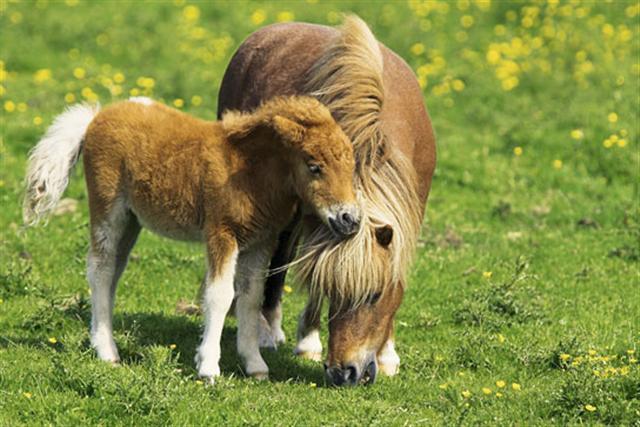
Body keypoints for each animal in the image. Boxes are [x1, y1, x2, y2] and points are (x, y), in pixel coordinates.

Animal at [22, 95, 361, 383]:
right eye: (314, 166)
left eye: (352, 165)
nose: (350, 219)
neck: (249, 171)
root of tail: (97, 116)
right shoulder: (221, 233)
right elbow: (220, 295)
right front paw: (209, 367)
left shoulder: (260, 242)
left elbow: (251, 297)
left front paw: (255, 364)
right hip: (108, 209)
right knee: (100, 269)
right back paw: (107, 352)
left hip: (132, 220)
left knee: (113, 272)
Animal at [218, 16, 436, 386]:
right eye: (336, 293)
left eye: (375, 295)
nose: (343, 373)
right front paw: (307, 342)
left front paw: (388, 354)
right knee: (277, 258)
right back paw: (268, 331)